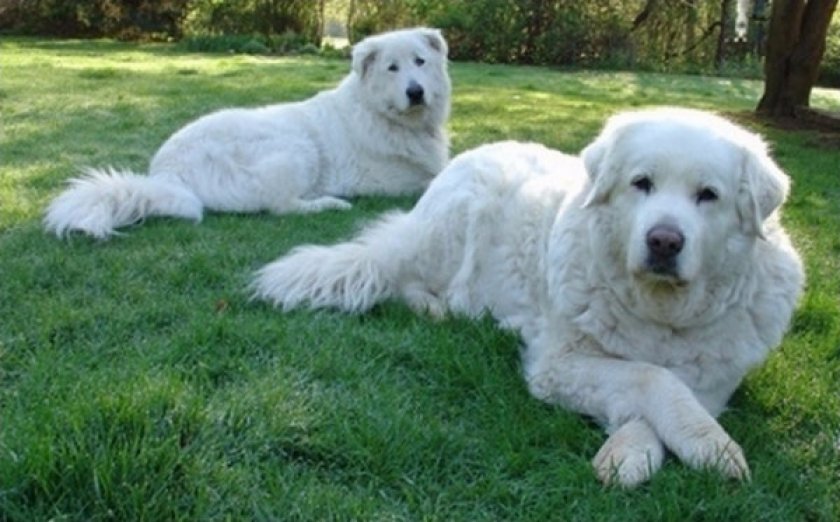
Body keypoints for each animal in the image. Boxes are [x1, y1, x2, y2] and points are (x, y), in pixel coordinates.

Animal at [44, 26, 452, 238]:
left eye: (420, 62)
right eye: (392, 68)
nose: (416, 92)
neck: (384, 116)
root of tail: (165, 175)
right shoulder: (385, 179)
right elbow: (430, 179)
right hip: (297, 147)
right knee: (280, 206)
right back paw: (330, 203)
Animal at [253, 107, 804, 486]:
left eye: (707, 195)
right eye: (641, 184)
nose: (664, 241)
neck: (659, 311)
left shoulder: (713, 384)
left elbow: (665, 394)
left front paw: (640, 449)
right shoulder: (558, 364)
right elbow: (653, 377)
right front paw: (704, 446)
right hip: (455, 226)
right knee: (402, 275)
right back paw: (437, 308)